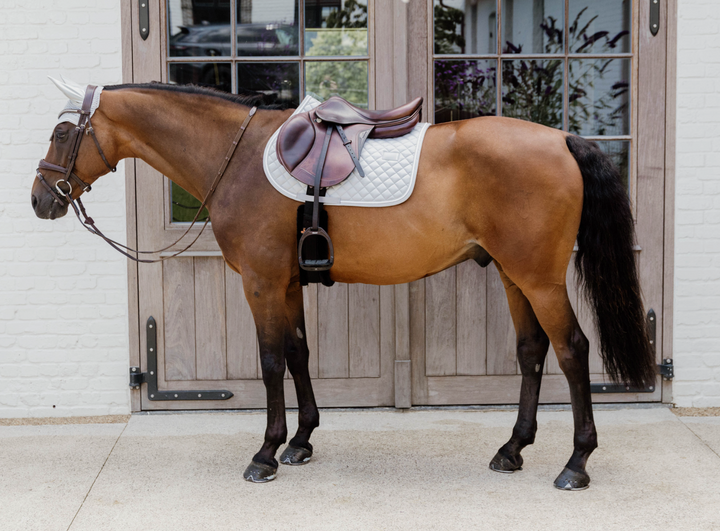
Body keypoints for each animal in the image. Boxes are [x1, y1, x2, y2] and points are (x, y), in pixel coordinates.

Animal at [31, 81, 656, 492]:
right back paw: (512, 448)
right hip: (511, 273)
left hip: (539, 278)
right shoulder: (286, 283)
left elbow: (270, 361)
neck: (237, 157)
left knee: (573, 350)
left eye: (62, 132)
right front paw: (301, 441)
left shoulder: (261, 283)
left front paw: (266, 453)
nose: (40, 199)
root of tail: (563, 139)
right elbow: (298, 352)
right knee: (532, 351)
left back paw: (576, 464)